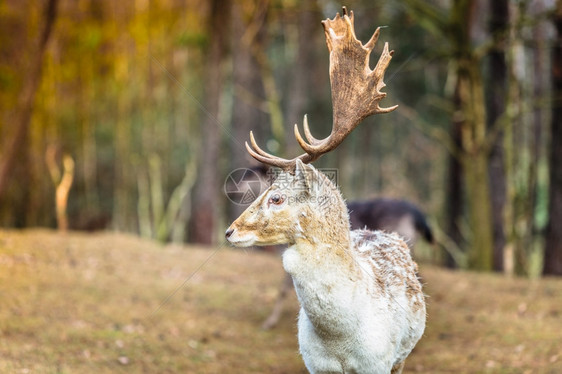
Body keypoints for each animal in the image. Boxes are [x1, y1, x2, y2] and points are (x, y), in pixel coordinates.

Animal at [224, 7, 424, 372]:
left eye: (276, 197)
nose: (230, 231)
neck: (341, 341)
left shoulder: (379, 362)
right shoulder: (314, 363)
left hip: (403, 356)